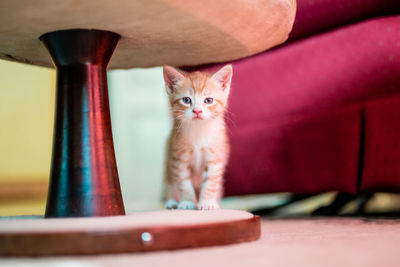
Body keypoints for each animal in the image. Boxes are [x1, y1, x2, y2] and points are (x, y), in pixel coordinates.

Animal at [162, 65, 231, 211]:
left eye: (208, 100)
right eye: (186, 100)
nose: (197, 111)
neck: (199, 131)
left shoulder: (215, 157)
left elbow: (211, 181)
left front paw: (207, 202)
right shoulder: (178, 158)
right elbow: (183, 183)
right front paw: (187, 202)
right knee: (170, 182)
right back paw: (172, 201)